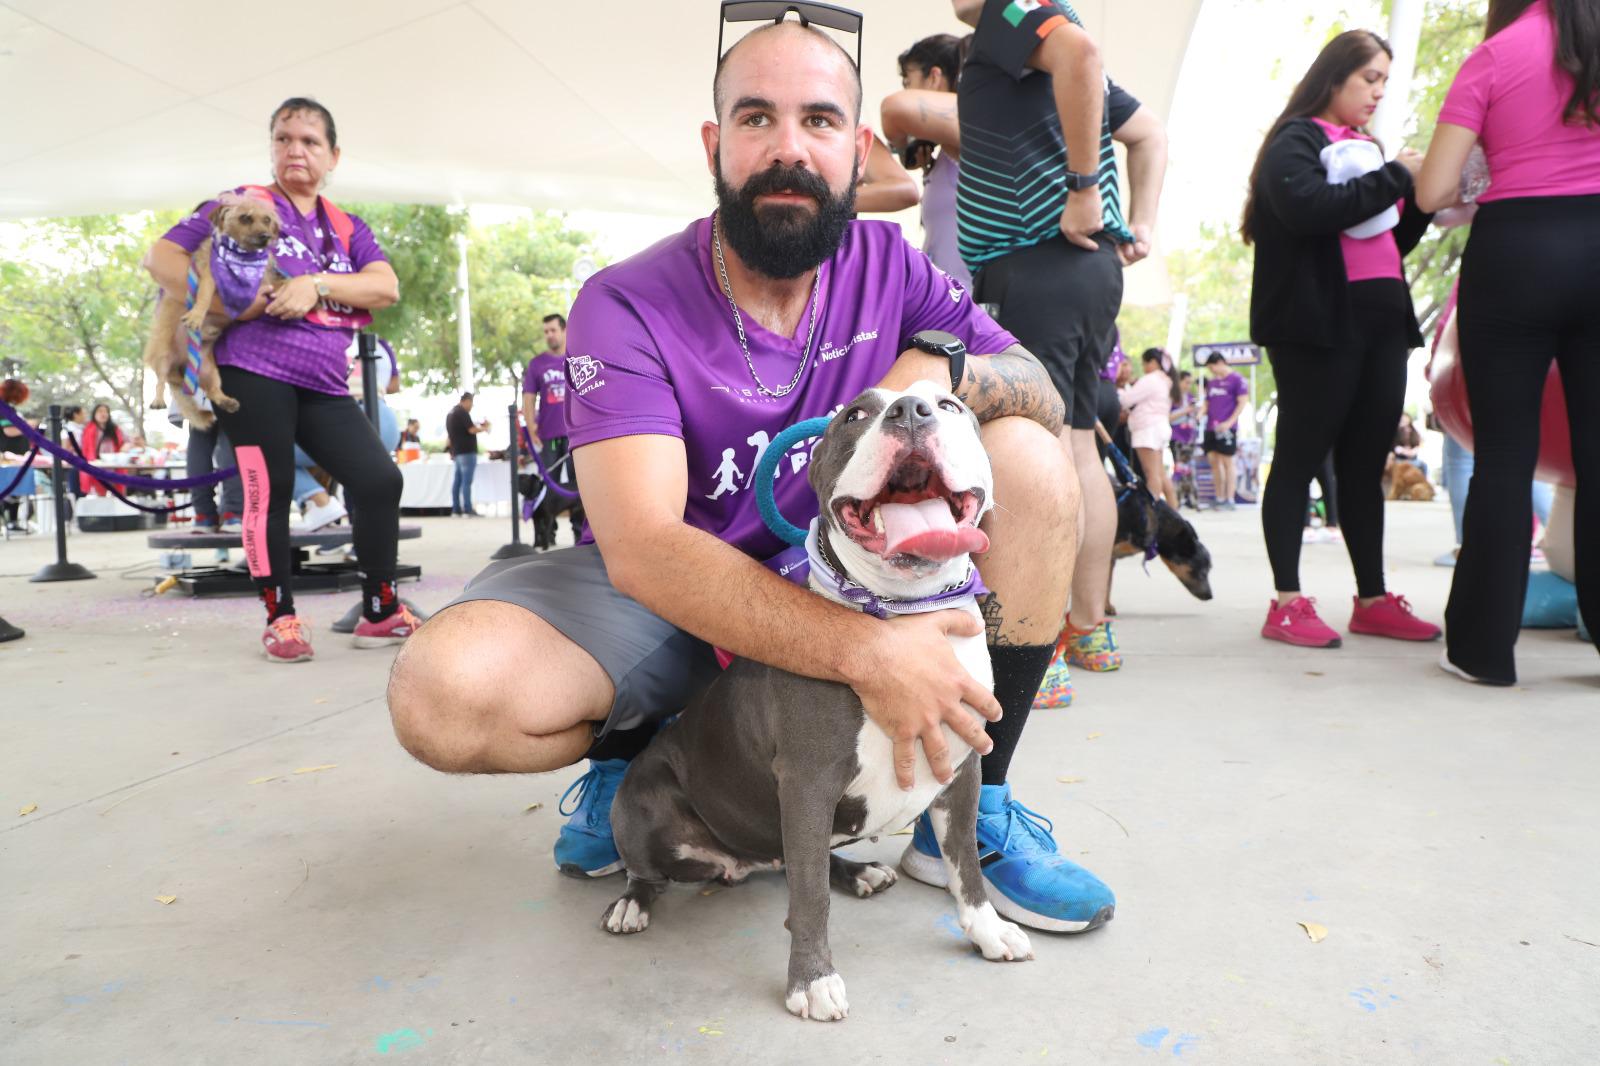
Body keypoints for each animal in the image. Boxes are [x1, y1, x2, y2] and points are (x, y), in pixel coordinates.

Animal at [144, 196, 281, 428]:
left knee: (213, 390)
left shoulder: (267, 281)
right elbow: (205, 298)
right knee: (160, 381)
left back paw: (227, 401)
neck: (242, 259)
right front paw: (197, 316)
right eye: (245, 218)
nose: (266, 236)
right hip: (162, 357)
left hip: (210, 372)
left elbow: (281, 284)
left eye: (267, 220)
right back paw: (158, 399)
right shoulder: (208, 278)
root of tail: (181, 369)